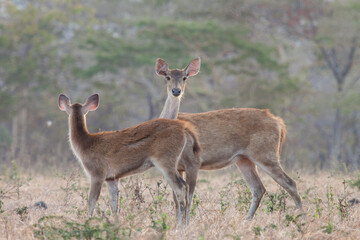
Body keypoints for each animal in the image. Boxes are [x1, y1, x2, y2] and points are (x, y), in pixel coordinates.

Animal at [57, 93, 201, 226]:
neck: (86, 144)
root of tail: (184, 128)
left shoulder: (97, 174)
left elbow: (92, 201)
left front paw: (87, 222)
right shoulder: (112, 178)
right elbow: (114, 204)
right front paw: (116, 225)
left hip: (165, 161)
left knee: (181, 188)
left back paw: (179, 227)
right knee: (187, 188)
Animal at [156, 57, 302, 221]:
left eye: (184, 77)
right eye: (167, 77)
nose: (176, 91)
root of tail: (278, 122)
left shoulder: (193, 162)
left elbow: (189, 196)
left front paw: (185, 224)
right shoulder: (177, 167)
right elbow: (176, 199)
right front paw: (177, 223)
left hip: (266, 154)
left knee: (290, 183)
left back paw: (302, 216)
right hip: (243, 159)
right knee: (258, 188)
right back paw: (247, 220)